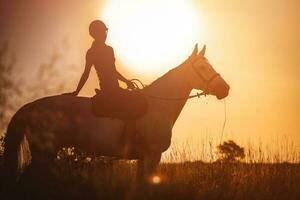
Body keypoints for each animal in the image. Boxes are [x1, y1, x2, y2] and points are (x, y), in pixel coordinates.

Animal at [2, 44, 230, 184]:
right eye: (202, 67)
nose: (225, 89)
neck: (158, 105)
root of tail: (32, 106)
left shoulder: (143, 159)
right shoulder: (152, 156)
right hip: (44, 153)